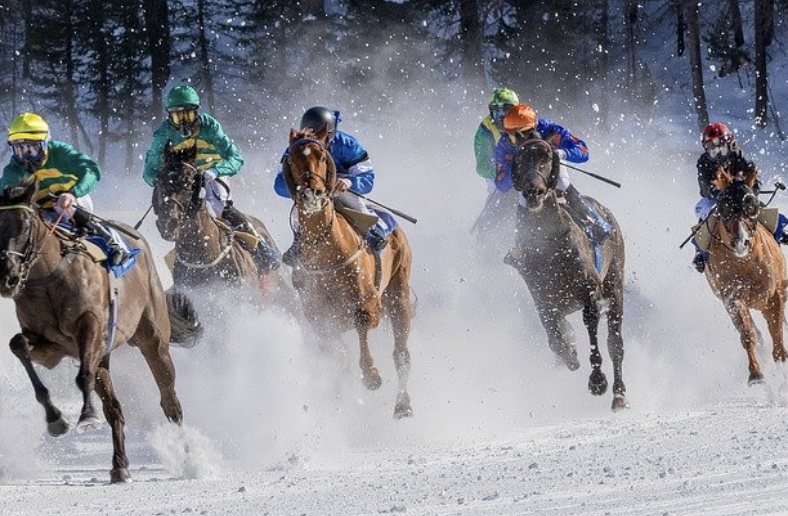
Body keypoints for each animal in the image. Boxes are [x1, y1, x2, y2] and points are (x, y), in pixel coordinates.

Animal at [0, 181, 202, 483]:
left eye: (25, 225)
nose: (8, 277)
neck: (50, 277)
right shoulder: (51, 347)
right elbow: (18, 345)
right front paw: (56, 419)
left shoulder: (91, 328)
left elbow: (83, 375)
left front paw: (86, 417)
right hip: (105, 357)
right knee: (115, 408)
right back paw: (119, 465)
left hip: (153, 339)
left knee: (170, 402)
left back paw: (190, 460)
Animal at [282, 129, 414, 419]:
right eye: (291, 159)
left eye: (321, 156)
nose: (311, 194)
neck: (327, 251)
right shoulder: (318, 316)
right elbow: (336, 352)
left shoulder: (369, 302)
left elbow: (362, 323)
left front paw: (371, 375)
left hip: (398, 291)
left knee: (401, 354)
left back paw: (403, 404)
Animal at [509, 137, 628, 411]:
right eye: (519, 159)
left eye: (546, 157)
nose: (533, 191)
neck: (549, 246)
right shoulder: (543, 300)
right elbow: (555, 339)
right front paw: (570, 354)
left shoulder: (590, 293)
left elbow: (592, 329)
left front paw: (597, 381)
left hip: (615, 282)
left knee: (615, 343)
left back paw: (619, 394)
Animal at [703, 166, 787, 385]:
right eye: (724, 207)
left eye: (752, 206)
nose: (741, 242)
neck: (745, 264)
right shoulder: (732, 298)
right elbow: (747, 334)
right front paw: (756, 374)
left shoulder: (774, 295)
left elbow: (777, 330)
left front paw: (782, 360)